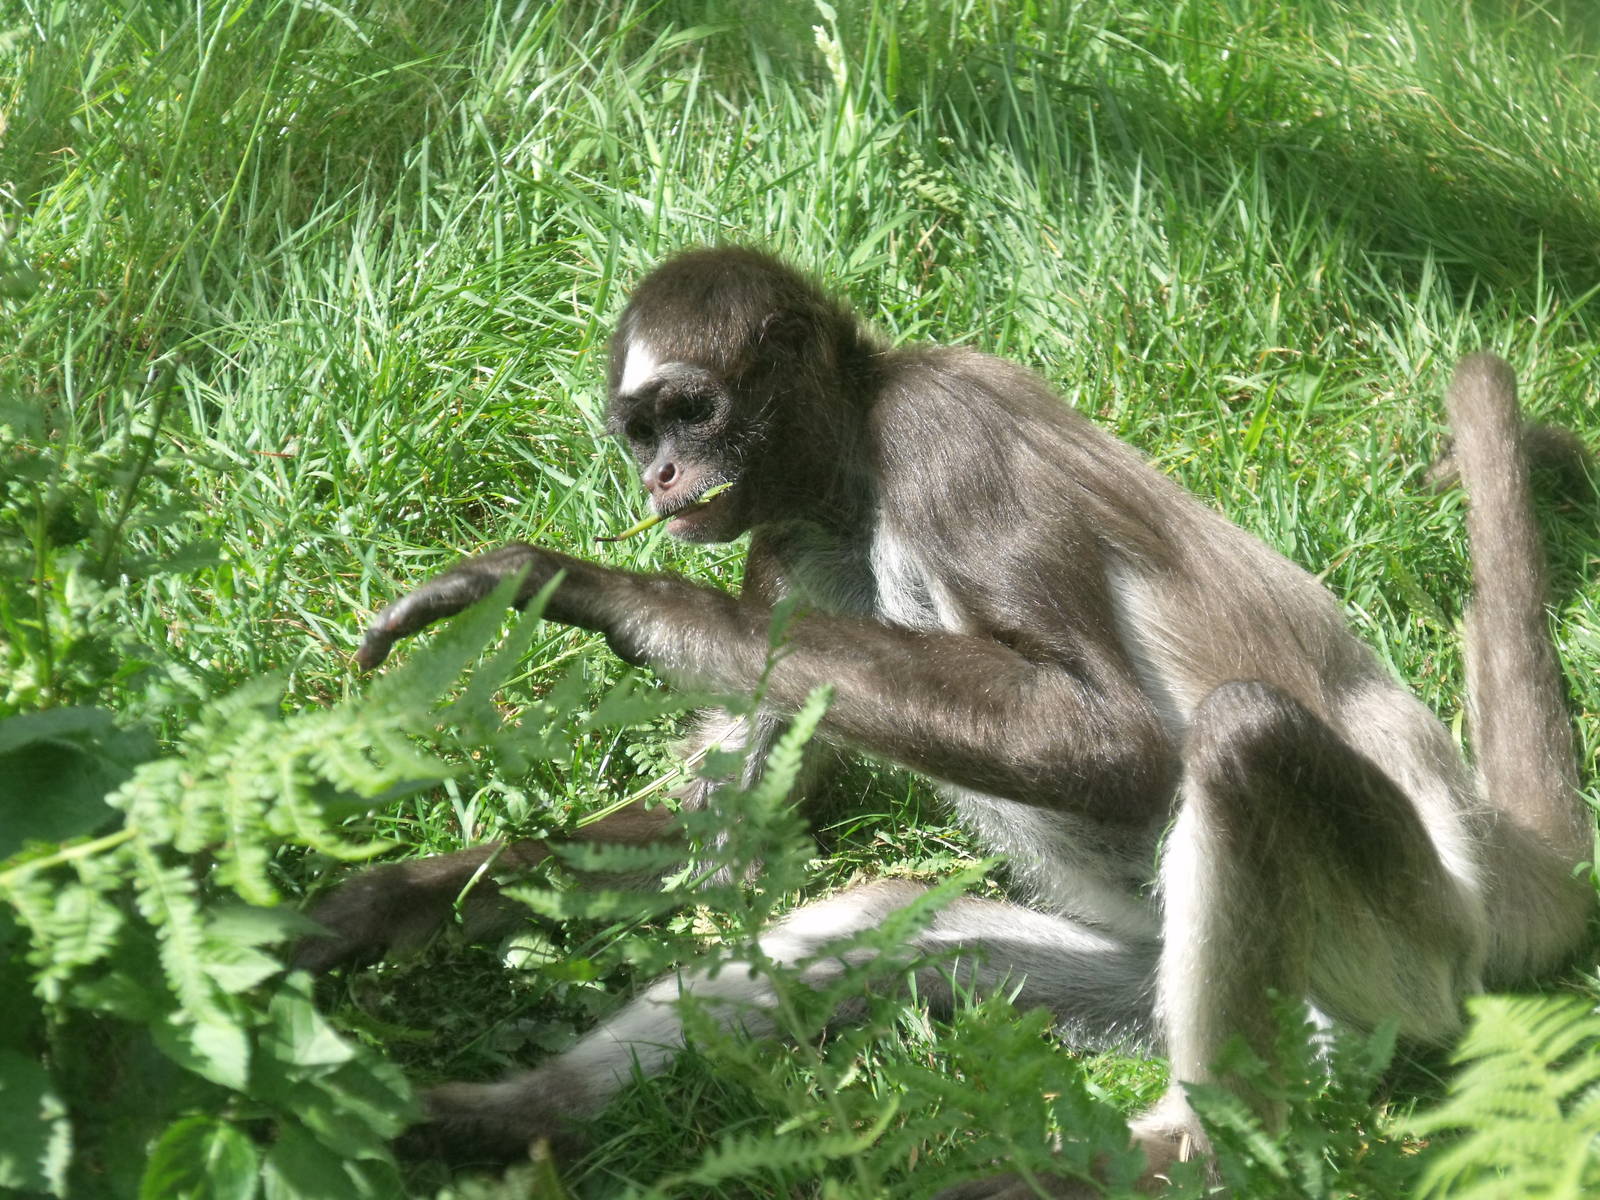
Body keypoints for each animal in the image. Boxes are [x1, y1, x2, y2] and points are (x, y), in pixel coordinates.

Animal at [303, 247, 1594, 1194]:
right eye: (638, 432)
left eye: (691, 412)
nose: (659, 482)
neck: (857, 469)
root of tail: (1486, 862)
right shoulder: (795, 543)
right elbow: (733, 853)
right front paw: (375, 907)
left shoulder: (941, 438)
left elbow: (1116, 747)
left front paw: (589, 590)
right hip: (1139, 977)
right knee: (870, 924)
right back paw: (495, 1121)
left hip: (1402, 958)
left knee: (1240, 735)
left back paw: (1196, 1150)